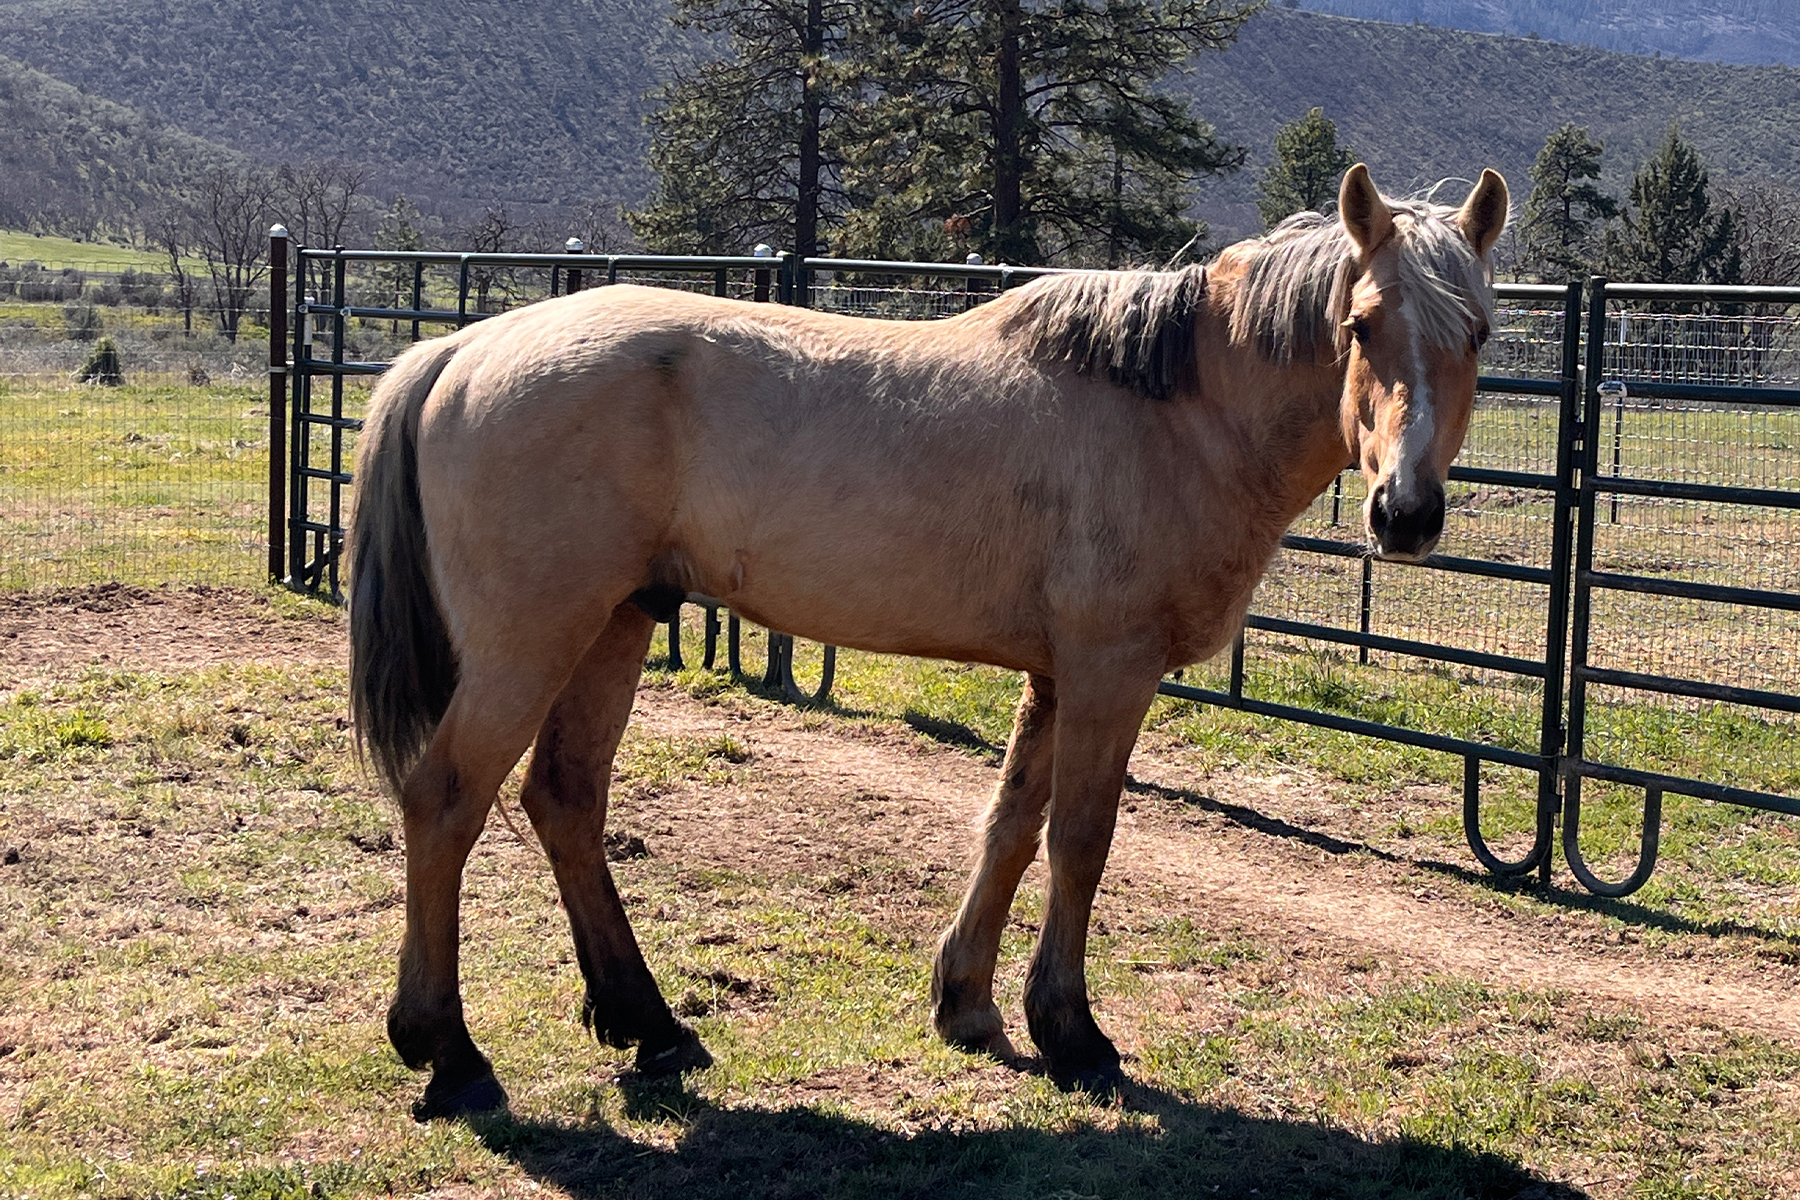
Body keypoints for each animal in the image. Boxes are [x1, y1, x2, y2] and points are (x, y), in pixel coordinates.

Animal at [349, 164, 1508, 1117]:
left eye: (1481, 334)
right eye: (1361, 324)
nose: (1406, 514)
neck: (1175, 413)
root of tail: (461, 346)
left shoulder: (1056, 676)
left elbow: (1011, 829)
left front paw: (969, 1003)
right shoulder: (1110, 673)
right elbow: (1082, 841)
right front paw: (1074, 1034)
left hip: (615, 626)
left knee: (566, 802)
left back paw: (651, 1026)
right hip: (532, 643)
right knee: (446, 799)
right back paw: (449, 1054)